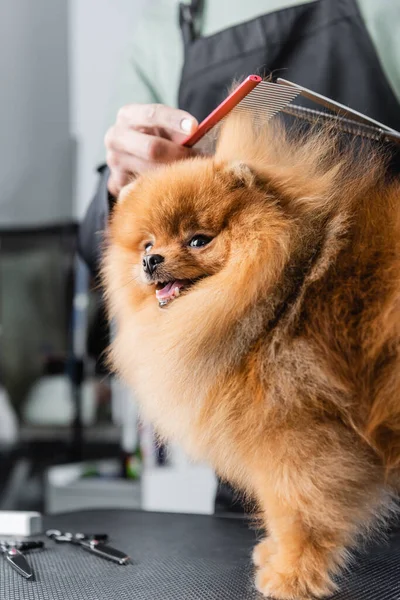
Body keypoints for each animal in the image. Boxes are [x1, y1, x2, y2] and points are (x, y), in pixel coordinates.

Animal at [103, 110, 400, 596]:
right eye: (147, 244)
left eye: (198, 240)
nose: (150, 261)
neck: (279, 295)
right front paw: (274, 557)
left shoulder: (300, 439)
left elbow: (299, 512)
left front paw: (290, 577)